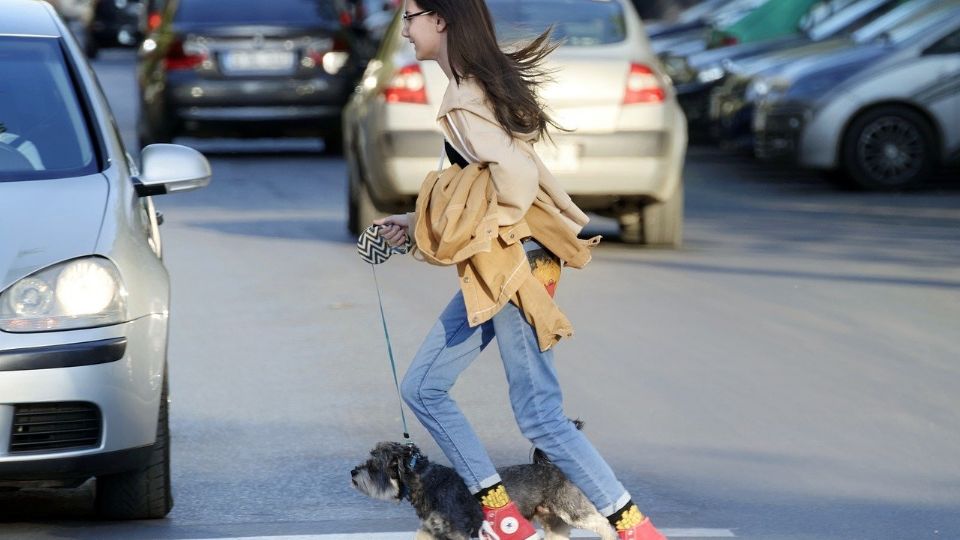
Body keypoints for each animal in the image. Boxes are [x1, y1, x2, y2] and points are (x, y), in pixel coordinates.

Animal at [350, 434, 616, 540]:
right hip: (553, 521)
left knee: (603, 524)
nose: (353, 472)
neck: (425, 480)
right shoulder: (431, 531)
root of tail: (554, 467)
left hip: (572, 510)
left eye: (373, 465)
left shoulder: (459, 532)